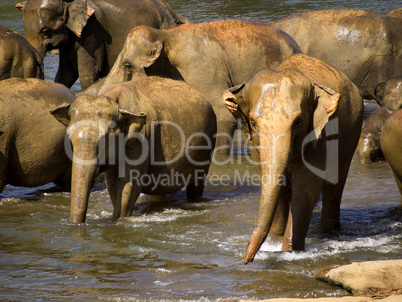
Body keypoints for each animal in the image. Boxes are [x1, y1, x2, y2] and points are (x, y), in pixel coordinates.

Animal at [53, 76, 218, 223]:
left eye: (106, 138)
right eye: (69, 138)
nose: (77, 224)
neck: (114, 100)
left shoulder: (141, 139)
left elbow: (128, 185)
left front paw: (119, 220)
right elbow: (113, 185)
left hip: (207, 142)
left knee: (197, 182)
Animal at [223, 53, 364, 262]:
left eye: (298, 122)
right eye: (254, 123)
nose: (247, 260)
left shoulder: (320, 136)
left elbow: (305, 192)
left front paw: (288, 252)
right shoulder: (255, 146)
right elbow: (278, 190)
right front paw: (274, 243)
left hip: (352, 132)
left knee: (334, 187)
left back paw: (329, 234)